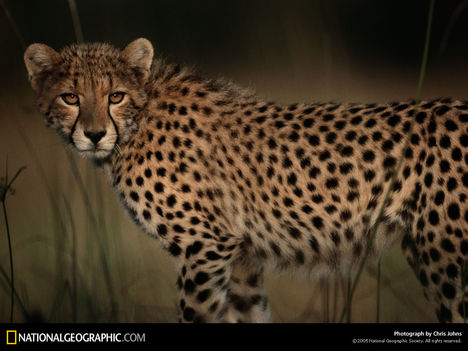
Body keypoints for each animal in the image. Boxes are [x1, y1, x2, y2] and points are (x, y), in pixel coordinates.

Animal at [24, 38, 468, 324]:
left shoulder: (204, 246)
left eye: (114, 96)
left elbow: (198, 317)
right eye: (70, 98)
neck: (139, 118)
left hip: (446, 260)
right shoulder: (239, 258)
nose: (94, 134)